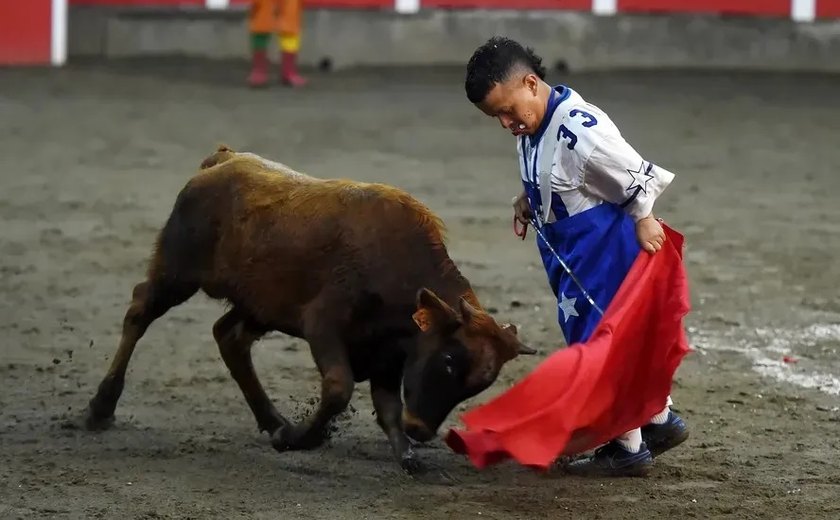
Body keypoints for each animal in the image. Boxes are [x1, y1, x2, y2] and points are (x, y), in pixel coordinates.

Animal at [83, 144, 532, 474]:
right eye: (449, 361)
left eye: (478, 385)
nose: (421, 430)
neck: (396, 264)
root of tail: (222, 161)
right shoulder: (323, 325)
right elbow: (338, 388)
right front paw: (300, 439)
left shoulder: (389, 354)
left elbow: (388, 407)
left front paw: (406, 455)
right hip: (176, 272)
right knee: (140, 311)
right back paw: (101, 407)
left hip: (258, 305)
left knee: (228, 337)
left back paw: (272, 419)